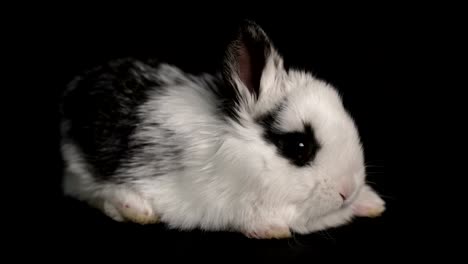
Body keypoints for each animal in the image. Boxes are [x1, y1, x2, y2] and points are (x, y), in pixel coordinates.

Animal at [60, 20, 386, 239]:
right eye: (299, 147)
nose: (348, 190)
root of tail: (76, 89)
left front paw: (371, 202)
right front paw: (272, 229)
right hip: (85, 171)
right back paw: (136, 208)